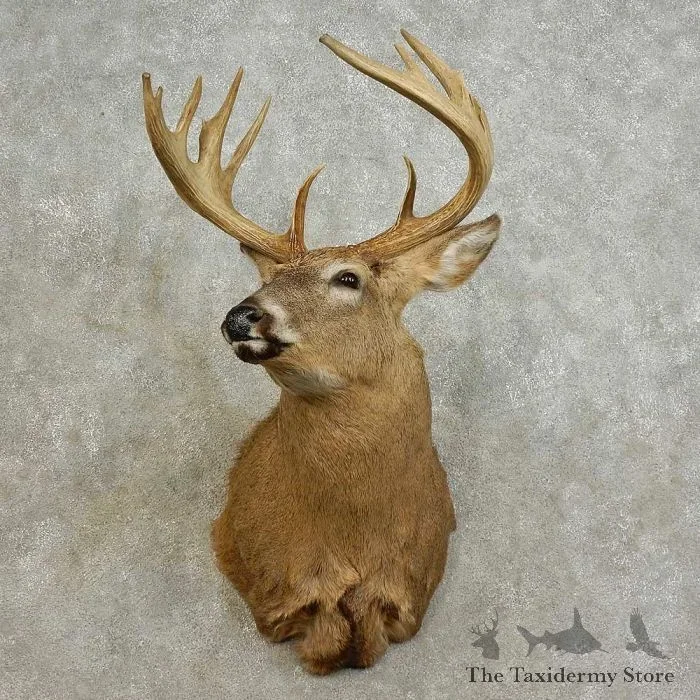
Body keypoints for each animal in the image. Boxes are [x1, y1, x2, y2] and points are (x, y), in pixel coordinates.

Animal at [142, 29, 501, 675]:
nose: (240, 315)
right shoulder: (274, 585)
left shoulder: (409, 587)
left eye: (348, 278)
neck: (351, 538)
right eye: (272, 277)